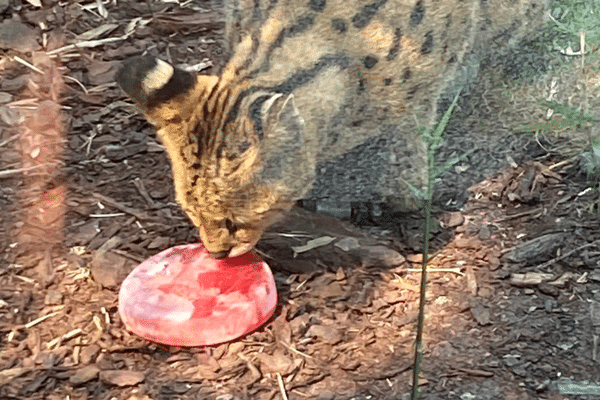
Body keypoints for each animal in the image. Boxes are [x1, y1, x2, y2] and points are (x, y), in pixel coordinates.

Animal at [115, 0, 548, 258]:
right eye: (191, 214)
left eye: (234, 221)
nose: (216, 254)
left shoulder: (425, 84)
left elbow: (411, 131)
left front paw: (406, 192)